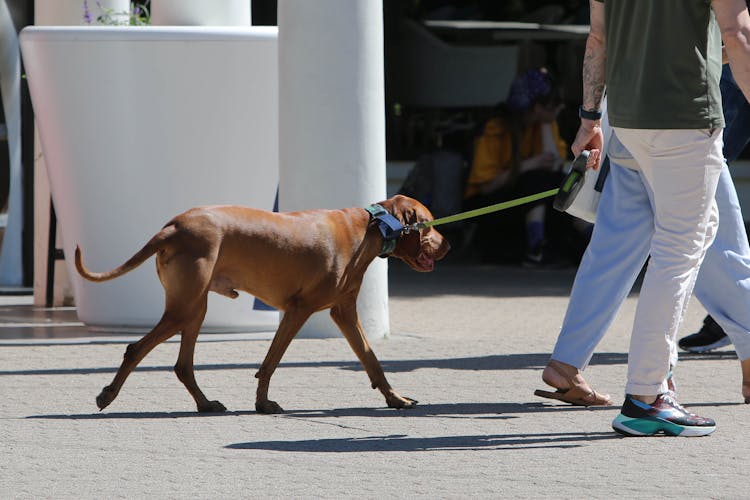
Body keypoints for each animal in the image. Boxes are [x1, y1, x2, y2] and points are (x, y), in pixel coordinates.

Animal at [75, 195, 452, 414]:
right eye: (430, 223)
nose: (448, 246)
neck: (371, 227)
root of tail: (173, 226)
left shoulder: (343, 312)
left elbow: (372, 361)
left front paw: (395, 399)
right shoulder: (298, 309)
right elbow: (271, 362)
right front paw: (263, 403)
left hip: (195, 309)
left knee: (182, 366)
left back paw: (205, 403)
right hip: (185, 307)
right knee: (136, 348)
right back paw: (108, 395)